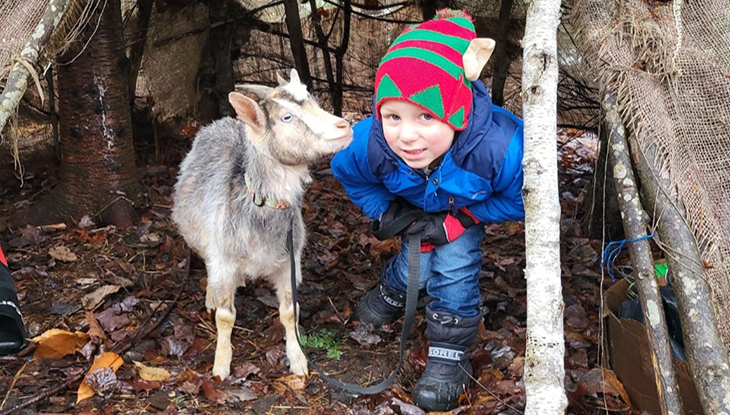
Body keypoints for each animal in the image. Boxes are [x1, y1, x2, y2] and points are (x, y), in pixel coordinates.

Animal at [171, 70, 352, 380]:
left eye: (313, 100)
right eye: (286, 117)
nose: (345, 126)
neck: (262, 204)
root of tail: (221, 122)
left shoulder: (290, 260)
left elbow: (290, 311)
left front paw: (298, 360)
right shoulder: (224, 257)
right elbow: (225, 316)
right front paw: (221, 365)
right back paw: (211, 295)